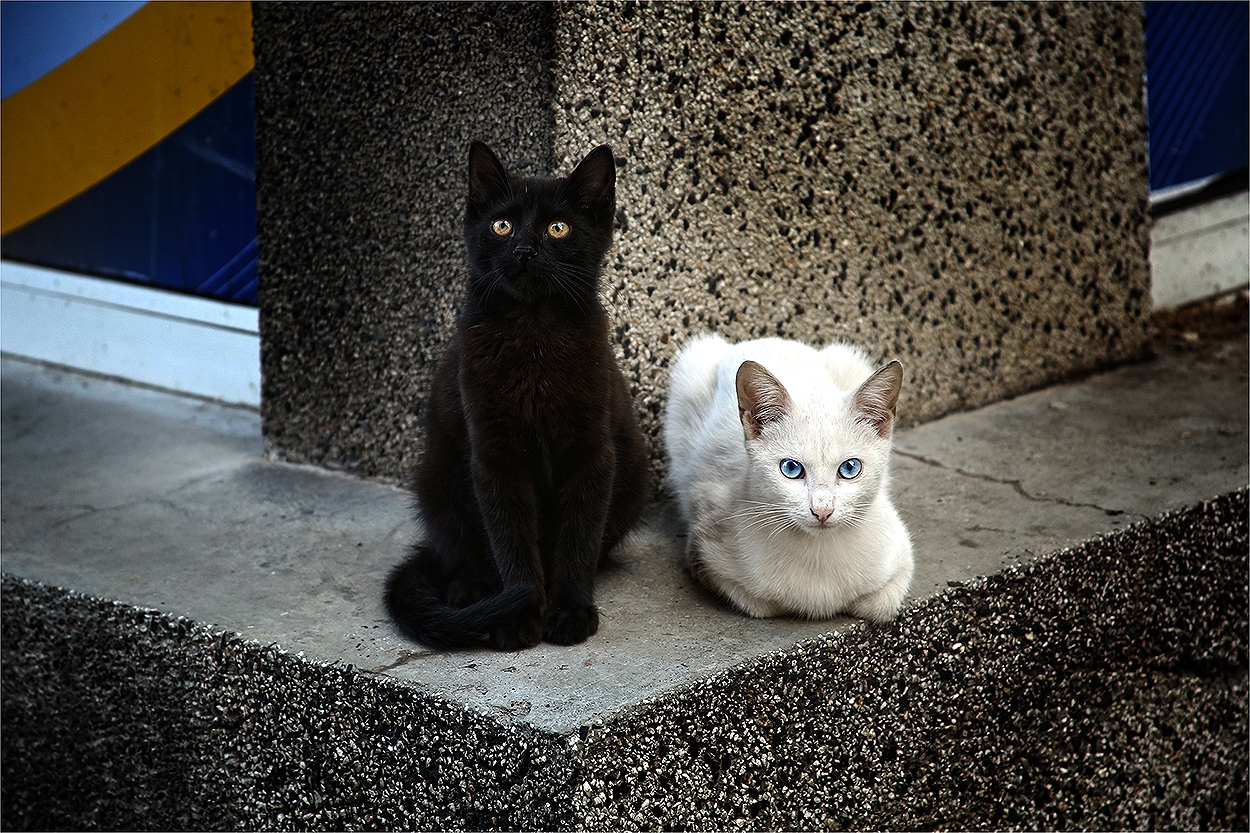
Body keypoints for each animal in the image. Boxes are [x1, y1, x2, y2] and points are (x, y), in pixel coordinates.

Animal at [385, 141, 650, 650]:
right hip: (438, 479)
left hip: (632, 476)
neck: (534, 333)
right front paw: (519, 613)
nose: (524, 250)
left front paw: (569, 610)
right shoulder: (495, 456)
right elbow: (510, 537)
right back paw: (471, 593)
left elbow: (578, 535)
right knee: (460, 552)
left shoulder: (591, 452)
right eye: (501, 225)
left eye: (558, 228)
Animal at [670, 335, 915, 620]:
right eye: (791, 468)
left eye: (850, 468)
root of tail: (769, 338)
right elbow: (760, 604)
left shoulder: (901, 552)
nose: (822, 511)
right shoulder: (710, 530)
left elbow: (880, 606)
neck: (819, 554)